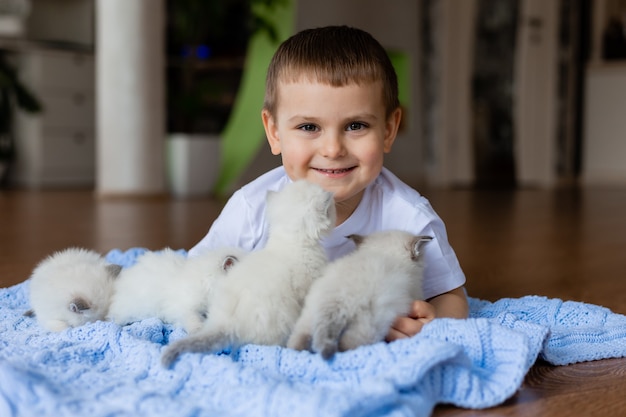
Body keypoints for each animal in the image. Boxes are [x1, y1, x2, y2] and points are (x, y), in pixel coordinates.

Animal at [286, 229, 428, 360]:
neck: (385, 255)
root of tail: (337, 298)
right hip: (369, 327)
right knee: (347, 346)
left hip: (308, 316)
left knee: (299, 340)